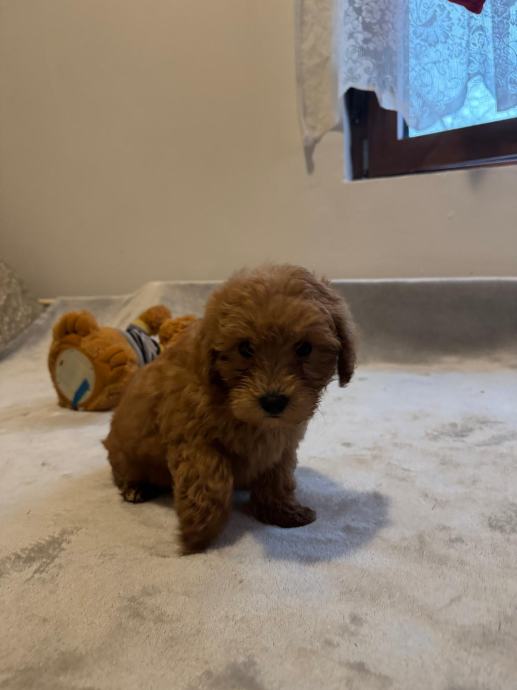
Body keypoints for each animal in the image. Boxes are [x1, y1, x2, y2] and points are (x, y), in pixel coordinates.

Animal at [104, 264, 356, 553]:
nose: (273, 401)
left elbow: (278, 477)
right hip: (124, 452)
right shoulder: (192, 439)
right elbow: (212, 475)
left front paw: (282, 512)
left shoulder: (282, 443)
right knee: (124, 470)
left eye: (304, 348)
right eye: (245, 348)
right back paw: (135, 488)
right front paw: (197, 532)